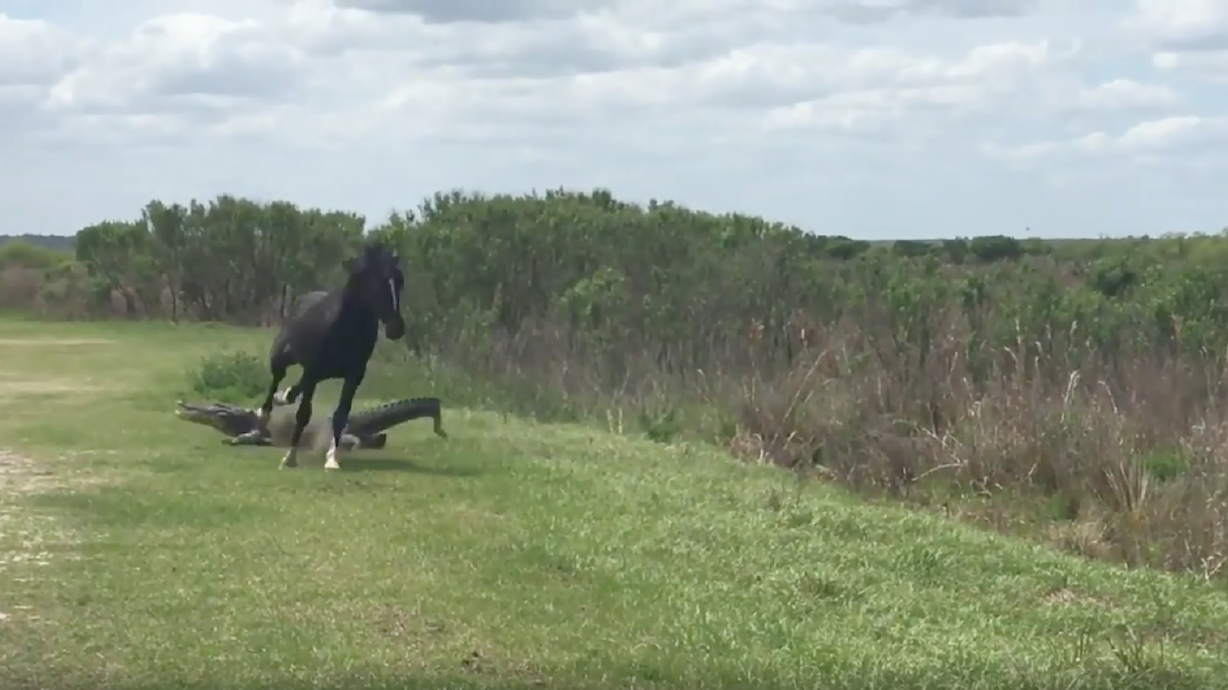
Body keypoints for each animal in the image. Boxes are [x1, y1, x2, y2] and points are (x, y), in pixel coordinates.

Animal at [255, 242, 406, 470]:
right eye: (376, 284)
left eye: (400, 282)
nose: (396, 328)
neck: (343, 327)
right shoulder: (314, 369)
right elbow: (303, 414)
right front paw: (290, 457)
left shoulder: (354, 375)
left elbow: (341, 416)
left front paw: (332, 459)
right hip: (284, 358)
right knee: (277, 379)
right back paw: (265, 413)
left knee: (295, 386)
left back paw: (286, 395)